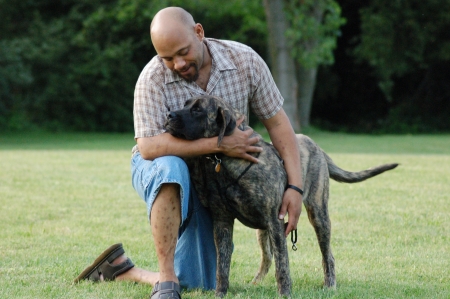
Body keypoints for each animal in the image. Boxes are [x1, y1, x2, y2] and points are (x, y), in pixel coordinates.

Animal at [164, 95, 398, 298]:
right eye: (185, 104)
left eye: (198, 110)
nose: (169, 115)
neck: (230, 163)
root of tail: (316, 146)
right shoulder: (223, 223)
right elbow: (222, 267)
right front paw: (220, 294)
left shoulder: (276, 221)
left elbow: (282, 265)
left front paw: (284, 294)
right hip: (262, 231)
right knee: (266, 258)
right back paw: (256, 282)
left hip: (318, 216)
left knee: (327, 255)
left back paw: (330, 285)